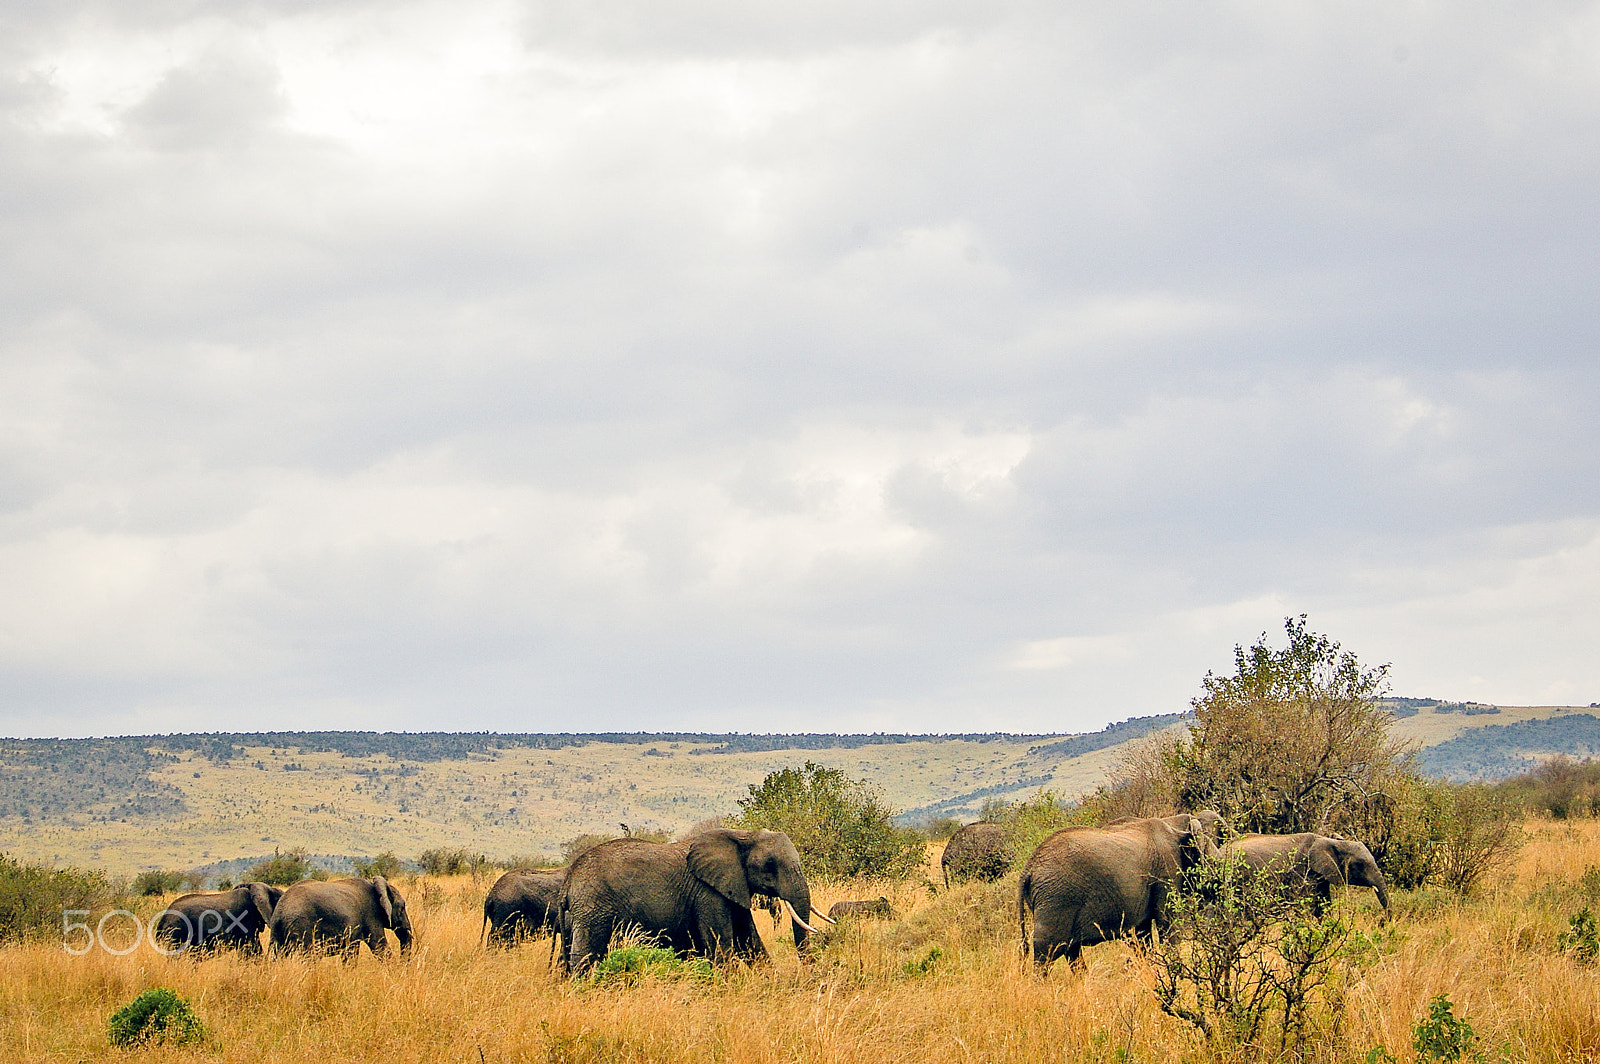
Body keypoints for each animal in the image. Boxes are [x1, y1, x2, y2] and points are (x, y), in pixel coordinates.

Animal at [267, 876, 412, 960]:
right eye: (402, 907)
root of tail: (281, 911)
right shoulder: (371, 915)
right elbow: (379, 946)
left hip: (277, 931)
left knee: (277, 955)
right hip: (302, 925)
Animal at [556, 825, 838, 972]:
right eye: (769, 865)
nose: (811, 971)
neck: (741, 835)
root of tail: (568, 880)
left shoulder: (732, 885)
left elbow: (749, 940)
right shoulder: (707, 893)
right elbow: (722, 943)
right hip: (593, 907)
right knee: (585, 952)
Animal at [1017, 812, 1216, 972]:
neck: (1174, 823)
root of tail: (1028, 869)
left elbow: (1143, 935)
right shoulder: (1166, 869)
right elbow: (1167, 924)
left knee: (1071, 952)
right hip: (1056, 899)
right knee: (1048, 952)